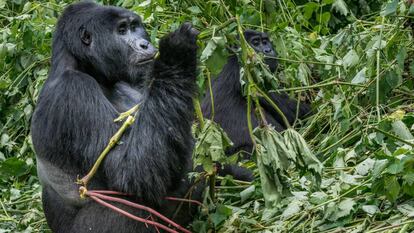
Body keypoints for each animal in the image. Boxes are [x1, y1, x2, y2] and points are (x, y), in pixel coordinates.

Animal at [30, 2, 201, 233]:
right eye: (121, 30)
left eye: (135, 27)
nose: (145, 44)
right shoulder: (72, 90)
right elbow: (130, 170)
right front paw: (177, 54)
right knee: (127, 208)